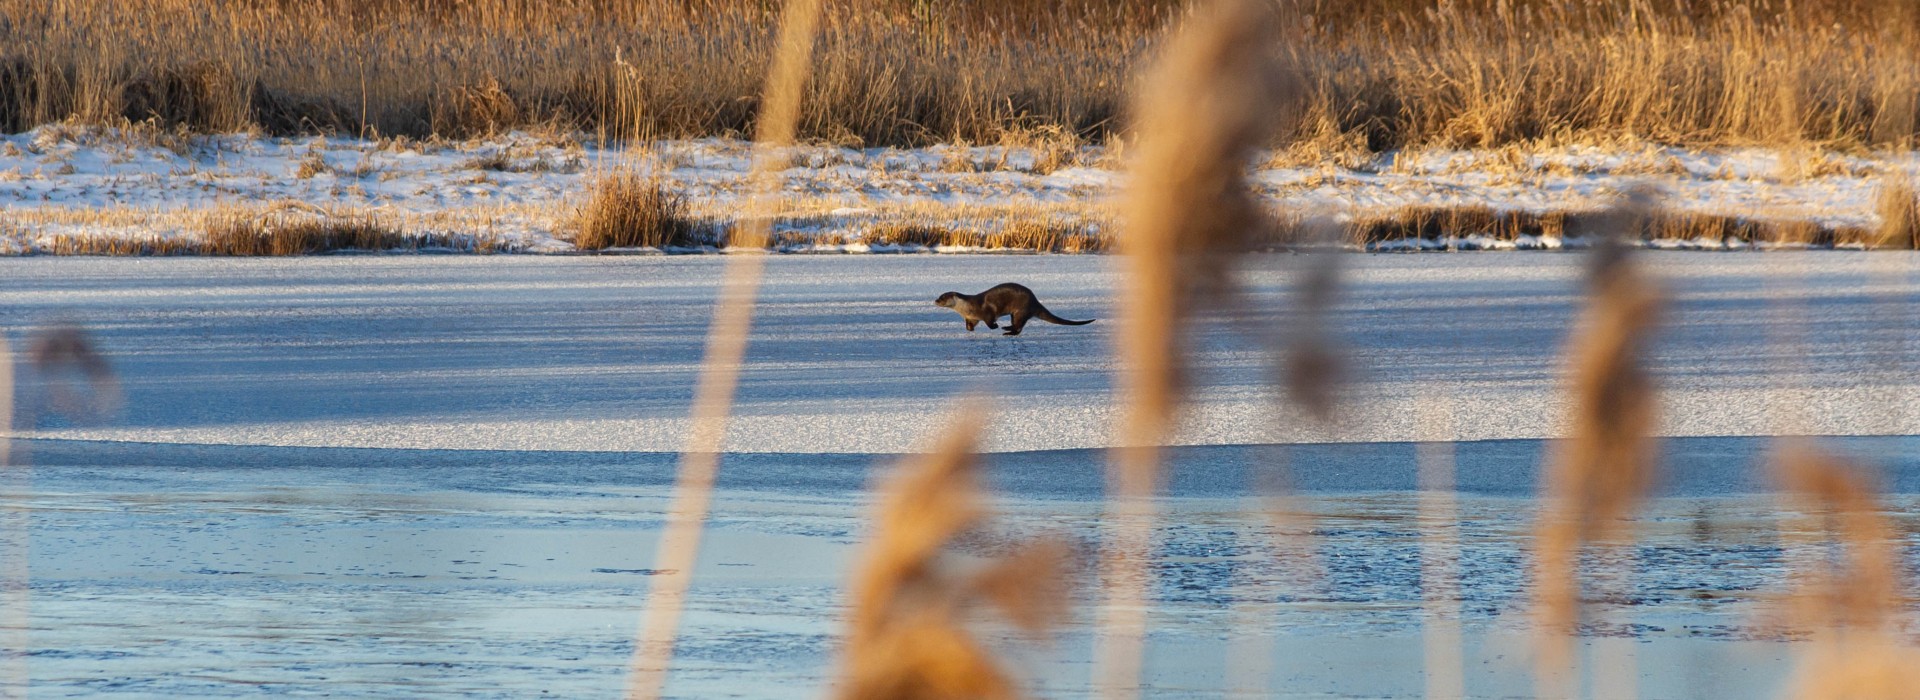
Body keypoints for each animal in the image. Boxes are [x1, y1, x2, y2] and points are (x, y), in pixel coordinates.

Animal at [933, 283, 1095, 336]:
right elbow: (970, 325)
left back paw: (1006, 332)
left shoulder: (986, 311)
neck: (967, 308)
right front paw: (970, 330)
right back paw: (1007, 328)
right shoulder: (970, 317)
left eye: (942, 297)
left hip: (1020, 311)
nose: (935, 300)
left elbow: (990, 320)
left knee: (1018, 328)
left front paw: (995, 326)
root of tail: (1035, 301)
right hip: (1016, 313)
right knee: (1017, 326)